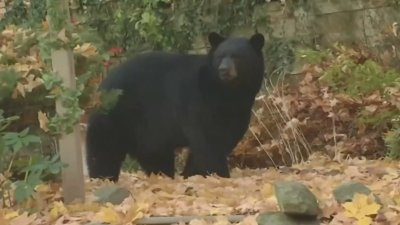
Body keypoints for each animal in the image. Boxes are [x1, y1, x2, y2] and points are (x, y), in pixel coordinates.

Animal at [85, 32, 266, 182]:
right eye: (221, 56)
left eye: (237, 57)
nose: (224, 70)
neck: (227, 92)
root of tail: (102, 85)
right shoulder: (198, 101)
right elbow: (208, 140)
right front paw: (218, 175)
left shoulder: (239, 109)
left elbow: (226, 137)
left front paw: (192, 174)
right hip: (119, 114)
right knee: (105, 148)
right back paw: (102, 177)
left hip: (148, 132)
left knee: (154, 154)